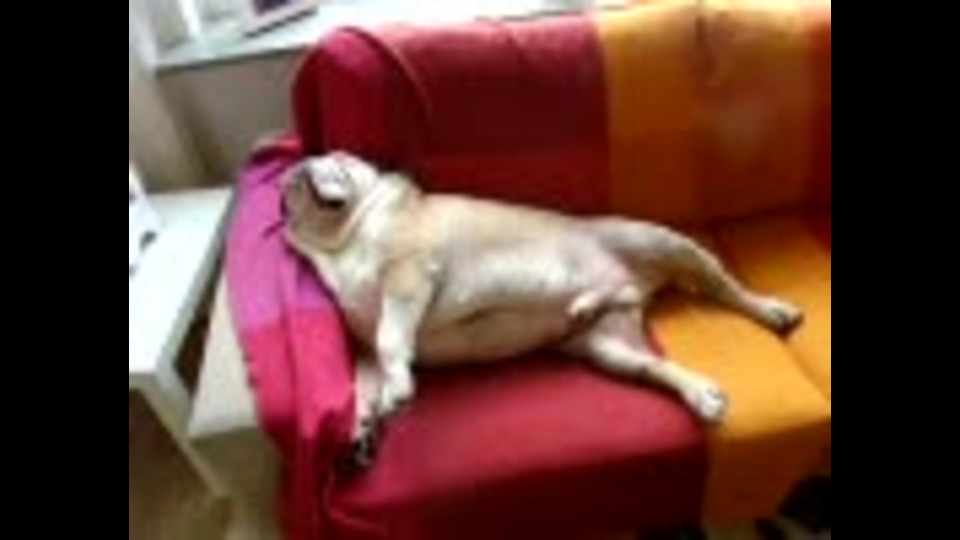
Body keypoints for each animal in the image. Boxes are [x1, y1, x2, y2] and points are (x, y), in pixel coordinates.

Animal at [283, 152, 803, 464]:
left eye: (339, 160)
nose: (301, 166)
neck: (340, 239)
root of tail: (635, 288)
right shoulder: (364, 346)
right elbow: (363, 378)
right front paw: (363, 425)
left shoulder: (406, 276)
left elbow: (392, 339)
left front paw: (397, 389)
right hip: (610, 348)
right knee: (653, 365)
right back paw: (694, 390)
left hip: (660, 241)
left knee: (724, 287)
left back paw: (770, 310)